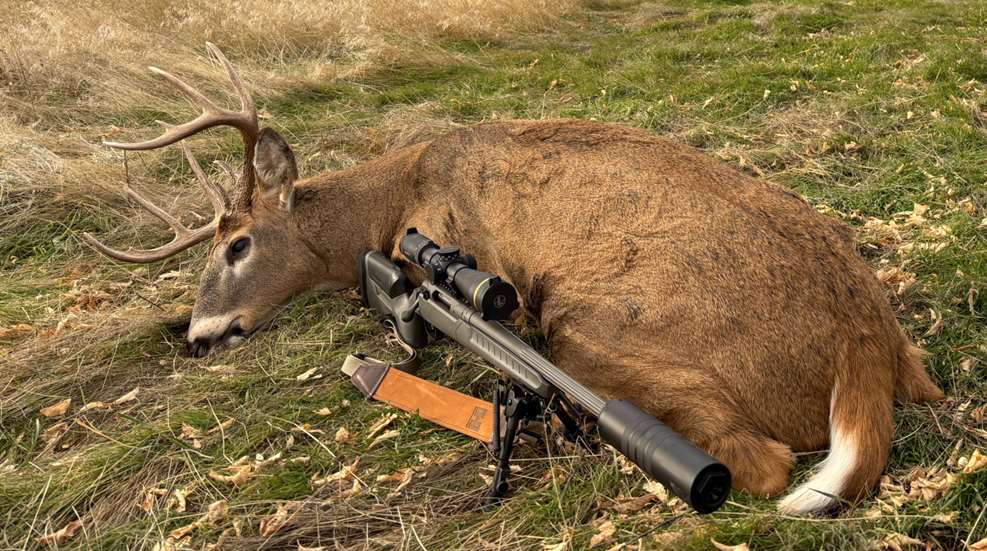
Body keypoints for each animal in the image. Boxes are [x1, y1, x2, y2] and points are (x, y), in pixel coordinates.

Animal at [82, 44, 944, 515]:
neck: (391, 201)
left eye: (237, 245)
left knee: (758, 463)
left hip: (589, 321)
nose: (197, 335)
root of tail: (867, 343)